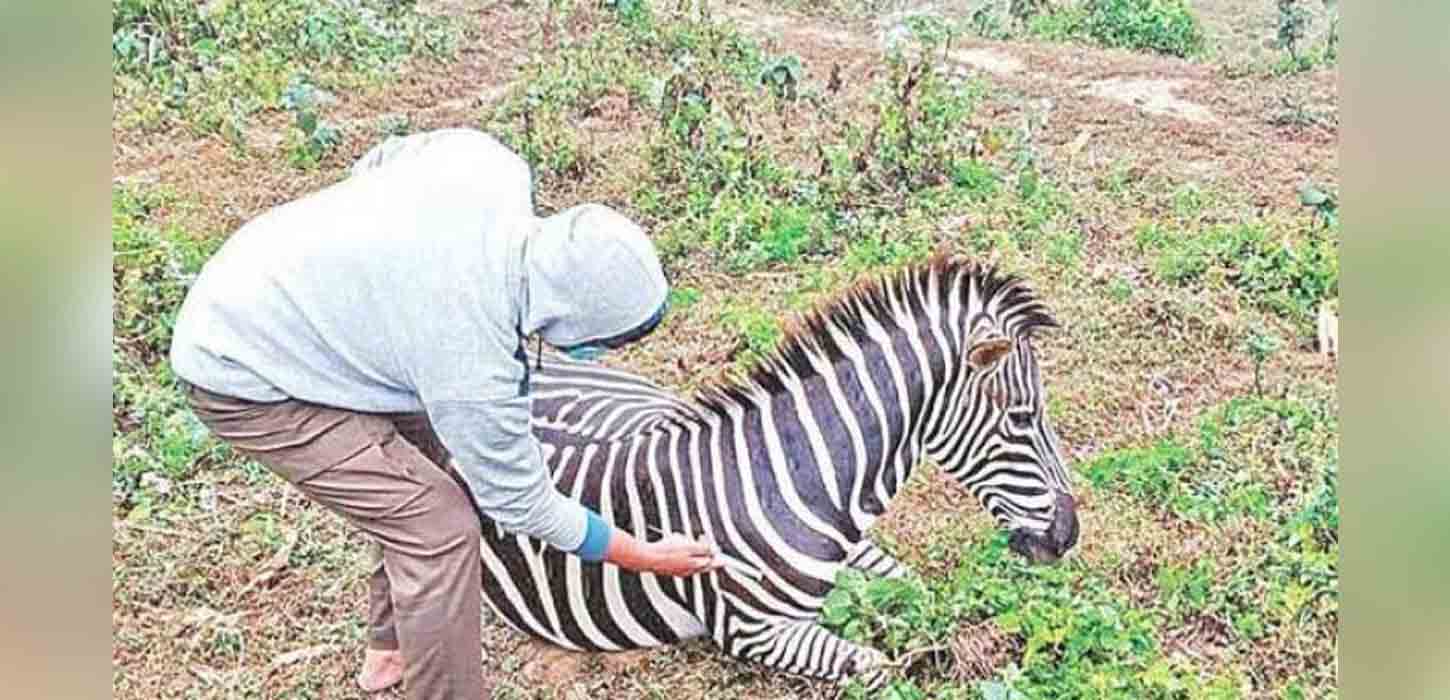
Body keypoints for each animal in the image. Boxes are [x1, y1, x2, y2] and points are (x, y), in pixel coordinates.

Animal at [475, 256, 1078, 684]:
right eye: (1023, 419)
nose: (1068, 536)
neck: (799, 483)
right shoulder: (753, 632)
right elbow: (877, 666)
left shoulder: (858, 554)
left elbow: (917, 593)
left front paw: (971, 639)